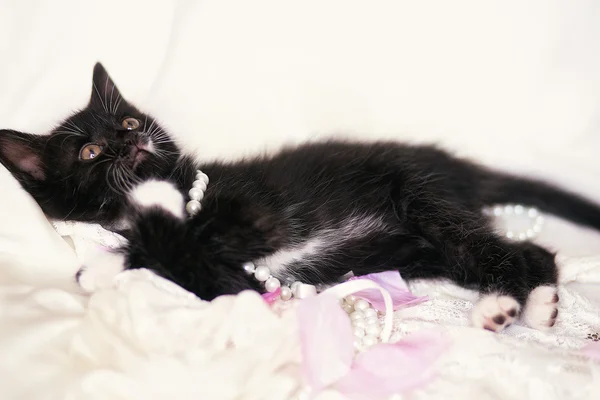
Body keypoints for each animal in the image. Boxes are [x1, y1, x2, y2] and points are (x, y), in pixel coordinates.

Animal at [1, 63, 600, 332]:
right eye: (90, 151)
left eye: (127, 121)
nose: (130, 141)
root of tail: (450, 165)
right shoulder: (236, 282)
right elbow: (196, 267)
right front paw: (108, 264)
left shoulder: (253, 216)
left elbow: (191, 240)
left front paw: (109, 261)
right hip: (420, 249)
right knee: (520, 252)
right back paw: (534, 301)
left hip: (421, 198)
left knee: (502, 249)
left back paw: (506, 304)